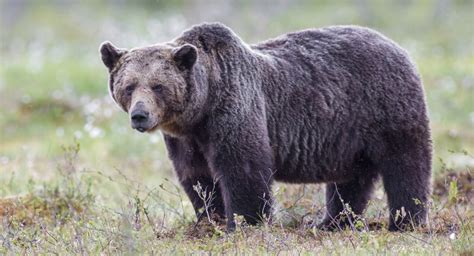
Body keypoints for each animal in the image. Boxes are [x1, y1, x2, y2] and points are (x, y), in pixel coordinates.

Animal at [100, 23, 434, 231]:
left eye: (158, 86)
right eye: (129, 86)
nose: (140, 115)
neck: (201, 109)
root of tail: (397, 46)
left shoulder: (235, 110)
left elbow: (244, 169)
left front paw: (244, 223)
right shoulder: (187, 139)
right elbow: (197, 178)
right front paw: (209, 219)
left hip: (387, 110)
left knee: (406, 166)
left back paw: (405, 221)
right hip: (350, 135)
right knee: (351, 179)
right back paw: (332, 222)